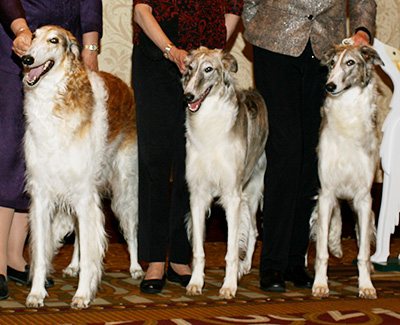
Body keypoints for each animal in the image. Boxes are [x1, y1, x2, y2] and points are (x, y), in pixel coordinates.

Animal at [21, 24, 143, 306]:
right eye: (32, 36)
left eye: (54, 40)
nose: (26, 59)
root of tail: (126, 86)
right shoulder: (42, 194)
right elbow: (41, 252)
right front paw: (36, 293)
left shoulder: (85, 193)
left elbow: (91, 251)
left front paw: (82, 294)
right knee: (77, 231)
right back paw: (73, 266)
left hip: (124, 187)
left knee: (131, 229)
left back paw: (136, 268)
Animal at [181, 46, 268, 298]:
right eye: (190, 68)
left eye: (209, 69)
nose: (188, 97)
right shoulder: (198, 194)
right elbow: (199, 250)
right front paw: (195, 282)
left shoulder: (232, 194)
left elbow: (230, 250)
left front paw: (229, 286)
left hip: (252, 190)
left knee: (253, 232)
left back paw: (244, 267)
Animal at [310, 43, 382, 298]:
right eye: (332, 63)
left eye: (350, 62)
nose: (329, 86)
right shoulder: (326, 193)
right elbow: (322, 251)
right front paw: (320, 285)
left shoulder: (363, 197)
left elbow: (362, 253)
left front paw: (366, 286)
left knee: (362, 235)